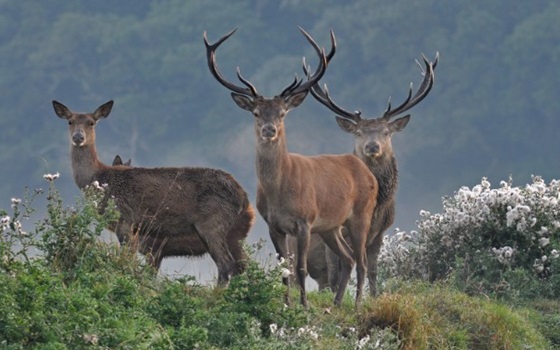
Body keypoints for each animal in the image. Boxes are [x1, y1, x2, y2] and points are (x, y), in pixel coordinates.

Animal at [52, 100, 254, 286]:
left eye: (92, 122)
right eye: (70, 121)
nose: (78, 137)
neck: (100, 179)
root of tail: (243, 198)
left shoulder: (126, 220)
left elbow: (127, 262)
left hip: (212, 222)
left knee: (226, 264)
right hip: (233, 235)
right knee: (243, 265)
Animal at [203, 28, 378, 306]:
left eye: (282, 113)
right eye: (255, 113)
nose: (269, 129)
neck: (281, 192)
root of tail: (367, 172)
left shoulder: (304, 221)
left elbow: (300, 268)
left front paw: (303, 305)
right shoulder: (273, 225)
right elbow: (284, 268)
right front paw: (286, 303)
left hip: (362, 213)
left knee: (361, 260)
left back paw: (358, 303)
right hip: (330, 226)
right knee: (348, 257)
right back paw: (336, 304)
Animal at [304, 45, 440, 294]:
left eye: (386, 132)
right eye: (358, 133)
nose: (372, 146)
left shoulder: (380, 232)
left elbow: (372, 270)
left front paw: (375, 296)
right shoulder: (335, 228)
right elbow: (337, 271)